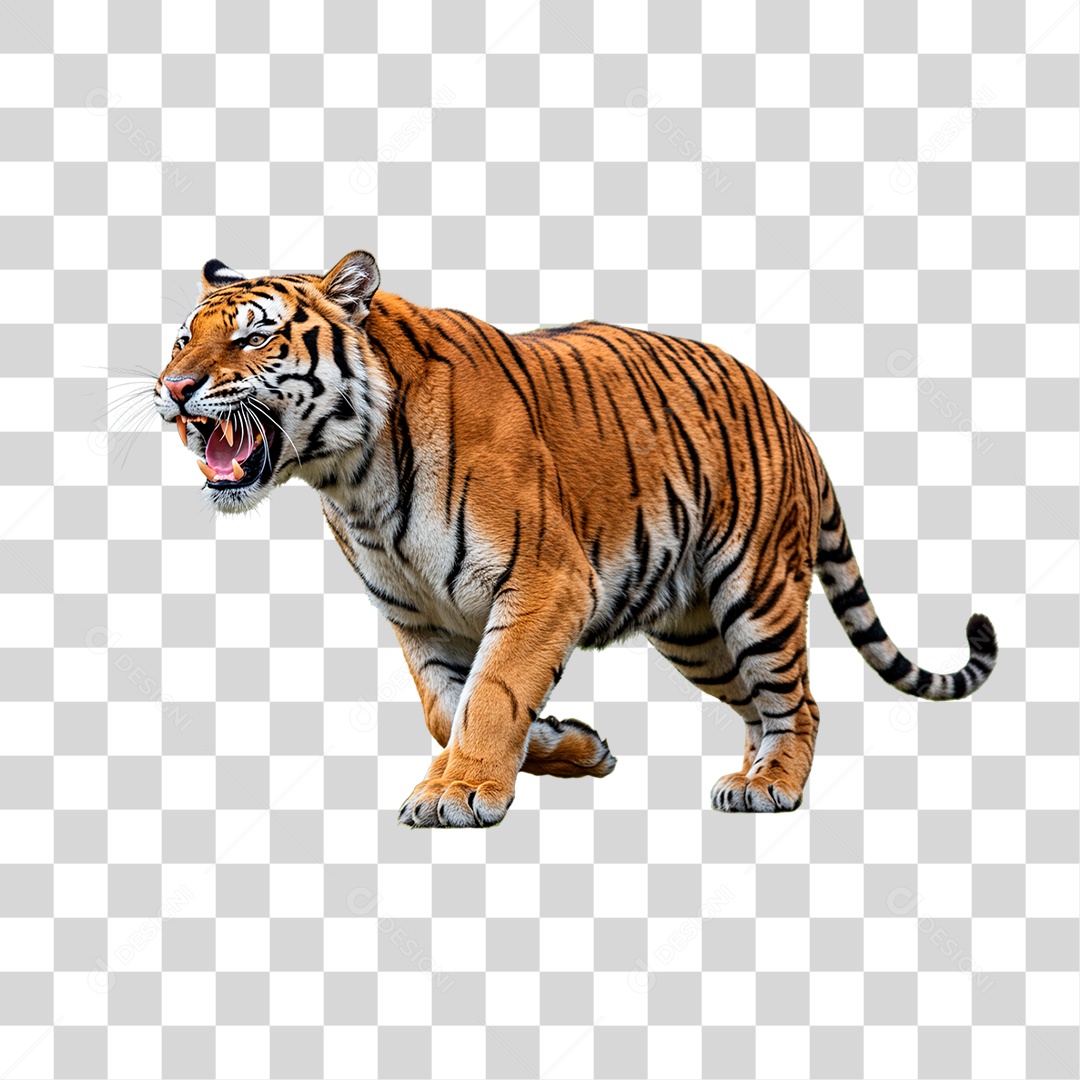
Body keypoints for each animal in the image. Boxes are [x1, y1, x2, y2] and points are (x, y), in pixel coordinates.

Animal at [153, 250, 998, 825]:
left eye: (254, 340)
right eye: (180, 342)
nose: (173, 390)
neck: (352, 479)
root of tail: (791, 416)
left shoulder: (543, 582)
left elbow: (493, 693)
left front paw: (459, 791)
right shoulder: (416, 615)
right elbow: (447, 707)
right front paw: (568, 747)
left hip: (755, 594)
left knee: (800, 701)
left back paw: (773, 786)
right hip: (696, 634)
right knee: (758, 705)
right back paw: (747, 774)